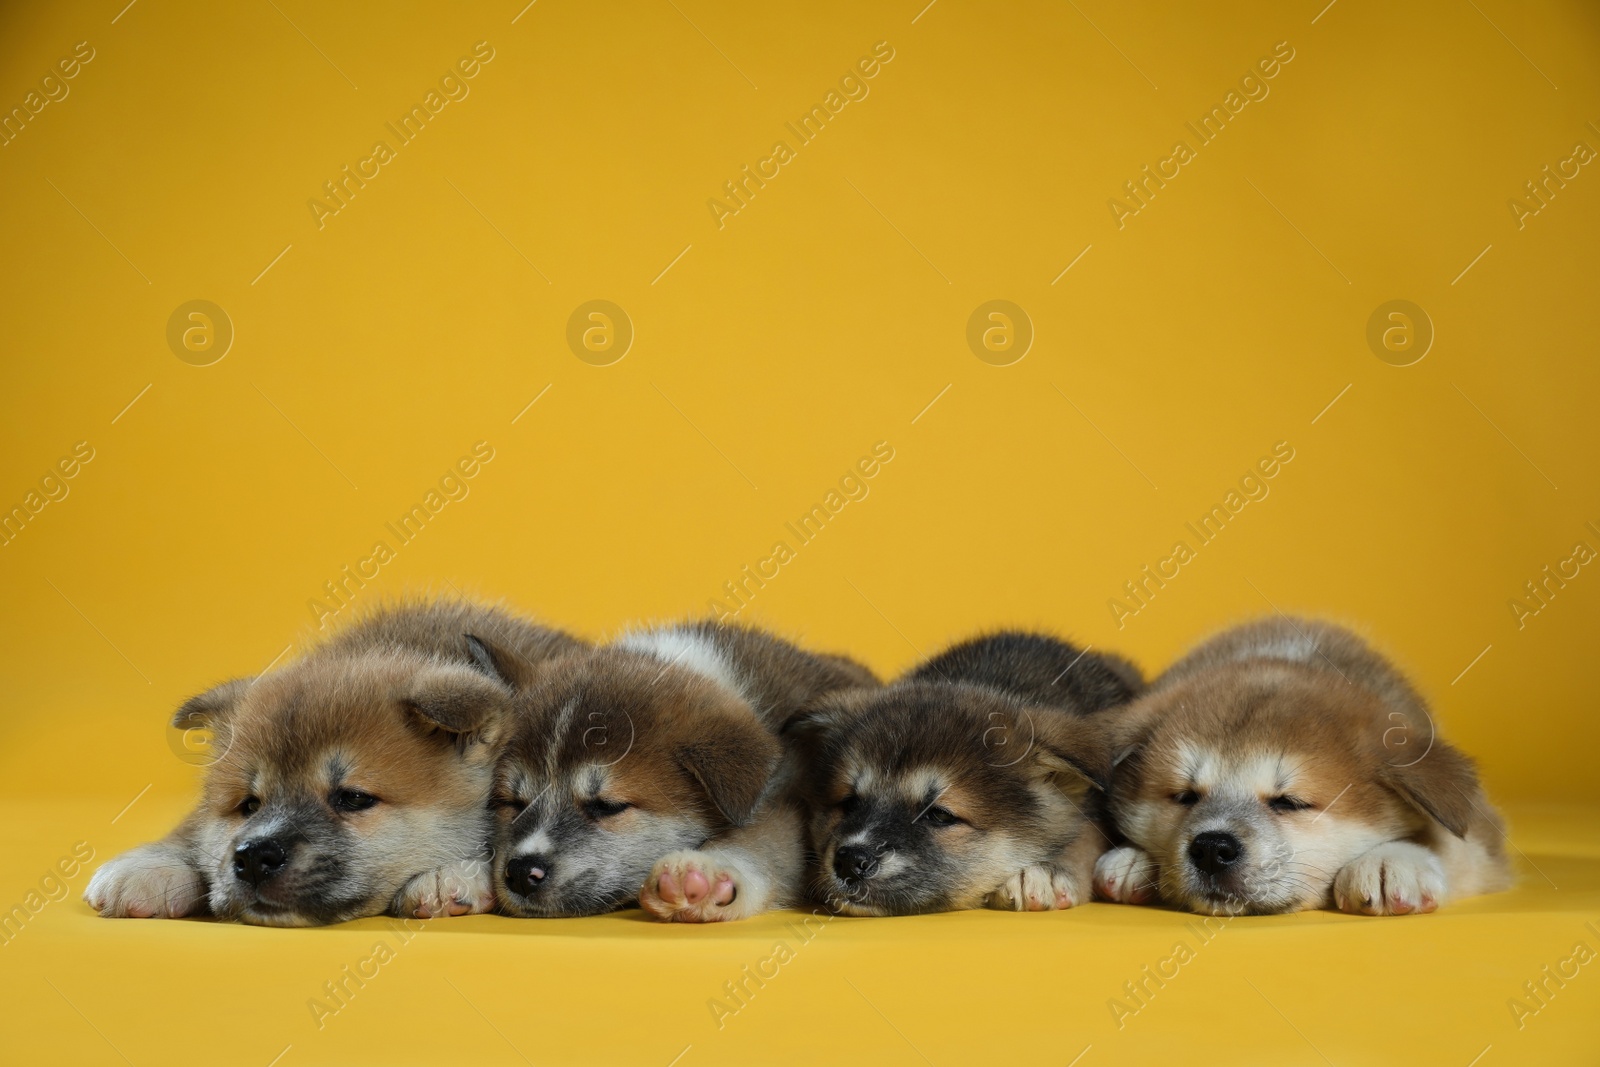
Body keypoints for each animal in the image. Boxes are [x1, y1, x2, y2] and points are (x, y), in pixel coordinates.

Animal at [81, 601, 582, 927]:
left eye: (352, 799)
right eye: (248, 806)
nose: (254, 856)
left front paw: (449, 875)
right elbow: (192, 830)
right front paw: (151, 867)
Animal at [486, 620, 876, 921]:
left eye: (606, 806)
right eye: (514, 803)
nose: (520, 873)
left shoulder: (793, 797)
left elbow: (768, 837)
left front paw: (708, 871)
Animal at [1094, 617, 1516, 921]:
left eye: (1290, 802)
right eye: (1184, 796)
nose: (1212, 847)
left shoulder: (1480, 828)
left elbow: (1453, 847)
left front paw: (1392, 861)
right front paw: (1133, 860)